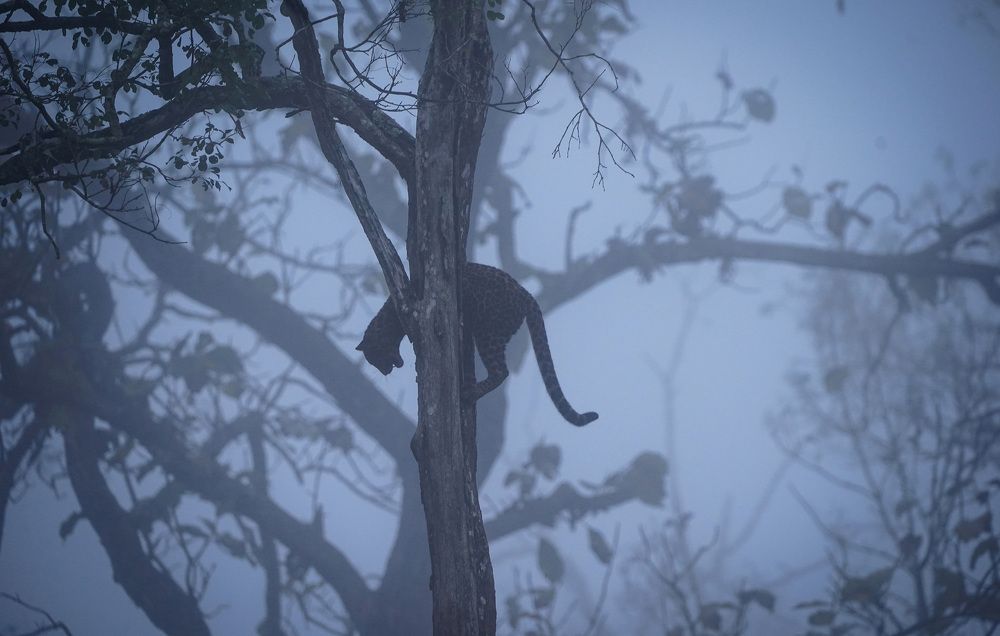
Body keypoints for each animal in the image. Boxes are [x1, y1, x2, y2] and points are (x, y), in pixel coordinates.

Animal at [356, 263, 598, 427]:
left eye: (374, 359)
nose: (385, 371)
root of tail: (528, 295)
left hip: (489, 333)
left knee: (501, 371)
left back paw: (471, 393)